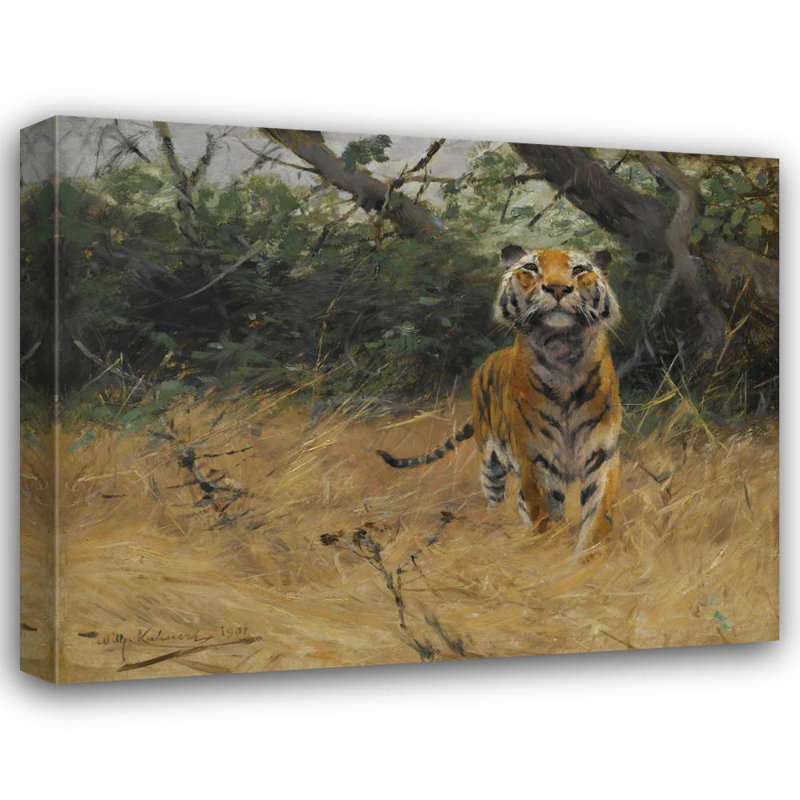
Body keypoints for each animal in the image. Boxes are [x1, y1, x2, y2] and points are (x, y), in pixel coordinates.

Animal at [377, 245, 622, 556]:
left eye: (579, 269)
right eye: (531, 267)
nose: (557, 288)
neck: (562, 352)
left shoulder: (601, 453)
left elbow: (597, 514)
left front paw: (589, 558)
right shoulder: (537, 456)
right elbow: (547, 512)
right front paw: (552, 552)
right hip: (490, 465)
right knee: (498, 499)